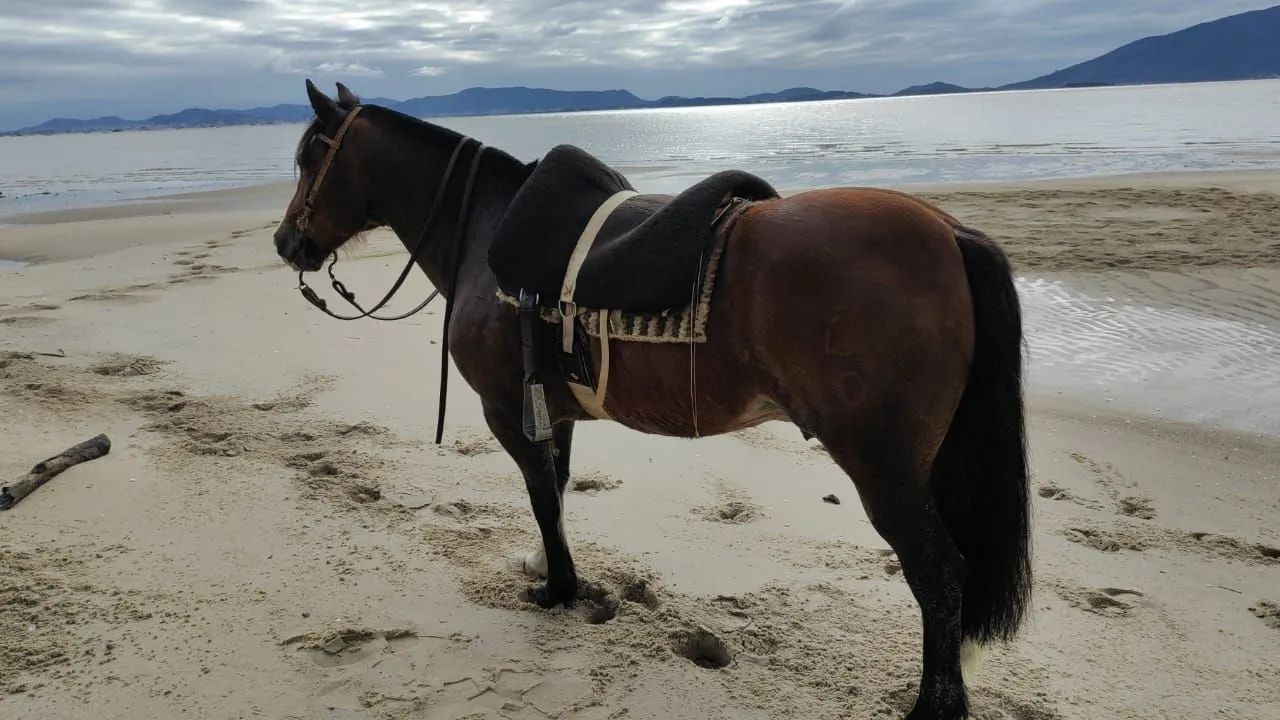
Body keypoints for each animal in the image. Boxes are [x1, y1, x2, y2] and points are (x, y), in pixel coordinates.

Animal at [273, 80, 1031, 720]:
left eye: (310, 157)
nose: (286, 242)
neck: (485, 231)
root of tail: (948, 232)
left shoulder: (506, 411)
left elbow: (542, 498)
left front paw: (558, 590)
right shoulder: (552, 413)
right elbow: (557, 494)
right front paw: (556, 573)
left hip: (884, 467)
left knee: (939, 572)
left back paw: (934, 707)